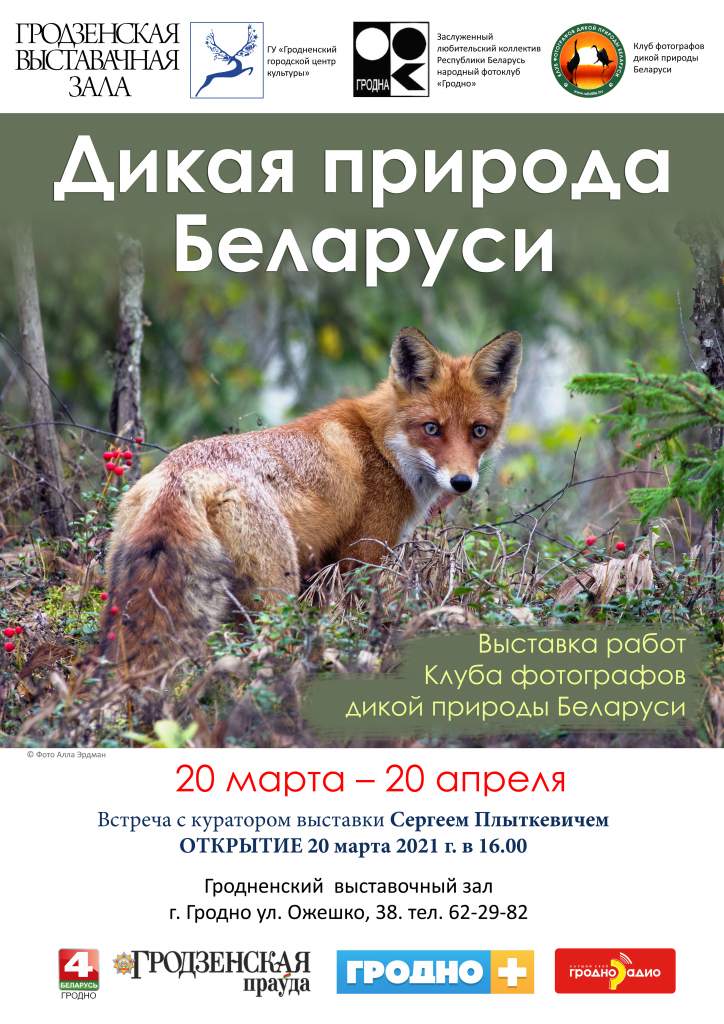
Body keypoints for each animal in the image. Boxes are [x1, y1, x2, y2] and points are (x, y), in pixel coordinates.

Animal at [101, 327, 522, 669]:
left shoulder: (321, 571)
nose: (462, 481)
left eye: (479, 430)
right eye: (431, 428)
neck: (383, 447)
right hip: (275, 592)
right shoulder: (361, 558)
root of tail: (182, 475)